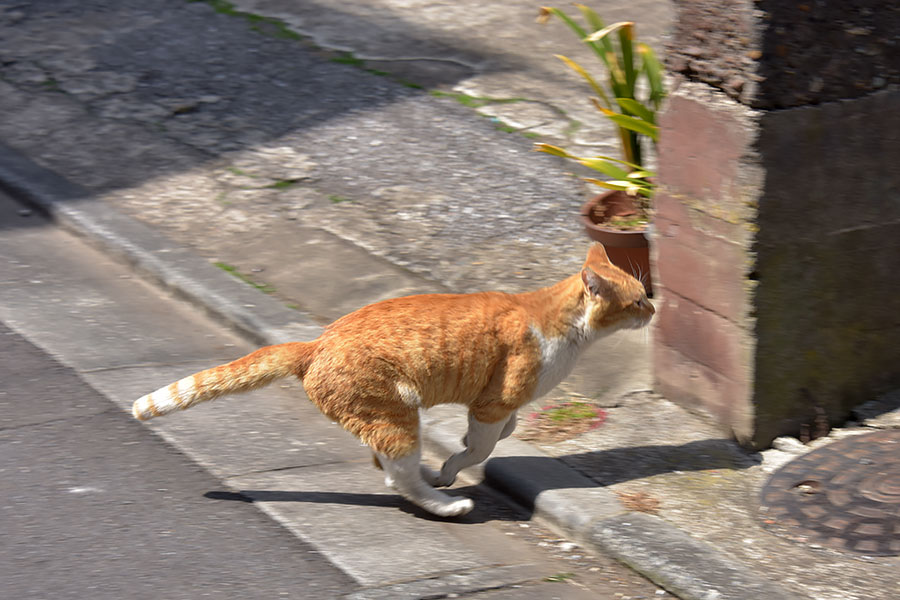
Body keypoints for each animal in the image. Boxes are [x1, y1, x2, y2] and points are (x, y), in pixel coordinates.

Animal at [134, 244, 652, 516]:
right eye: (636, 300)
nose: (653, 309)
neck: (560, 325)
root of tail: (315, 344)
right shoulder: (493, 401)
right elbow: (480, 448)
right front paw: (450, 471)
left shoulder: (492, 405)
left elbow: (504, 431)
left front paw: (465, 450)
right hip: (397, 414)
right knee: (400, 477)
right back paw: (443, 501)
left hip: (385, 419)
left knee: (386, 468)